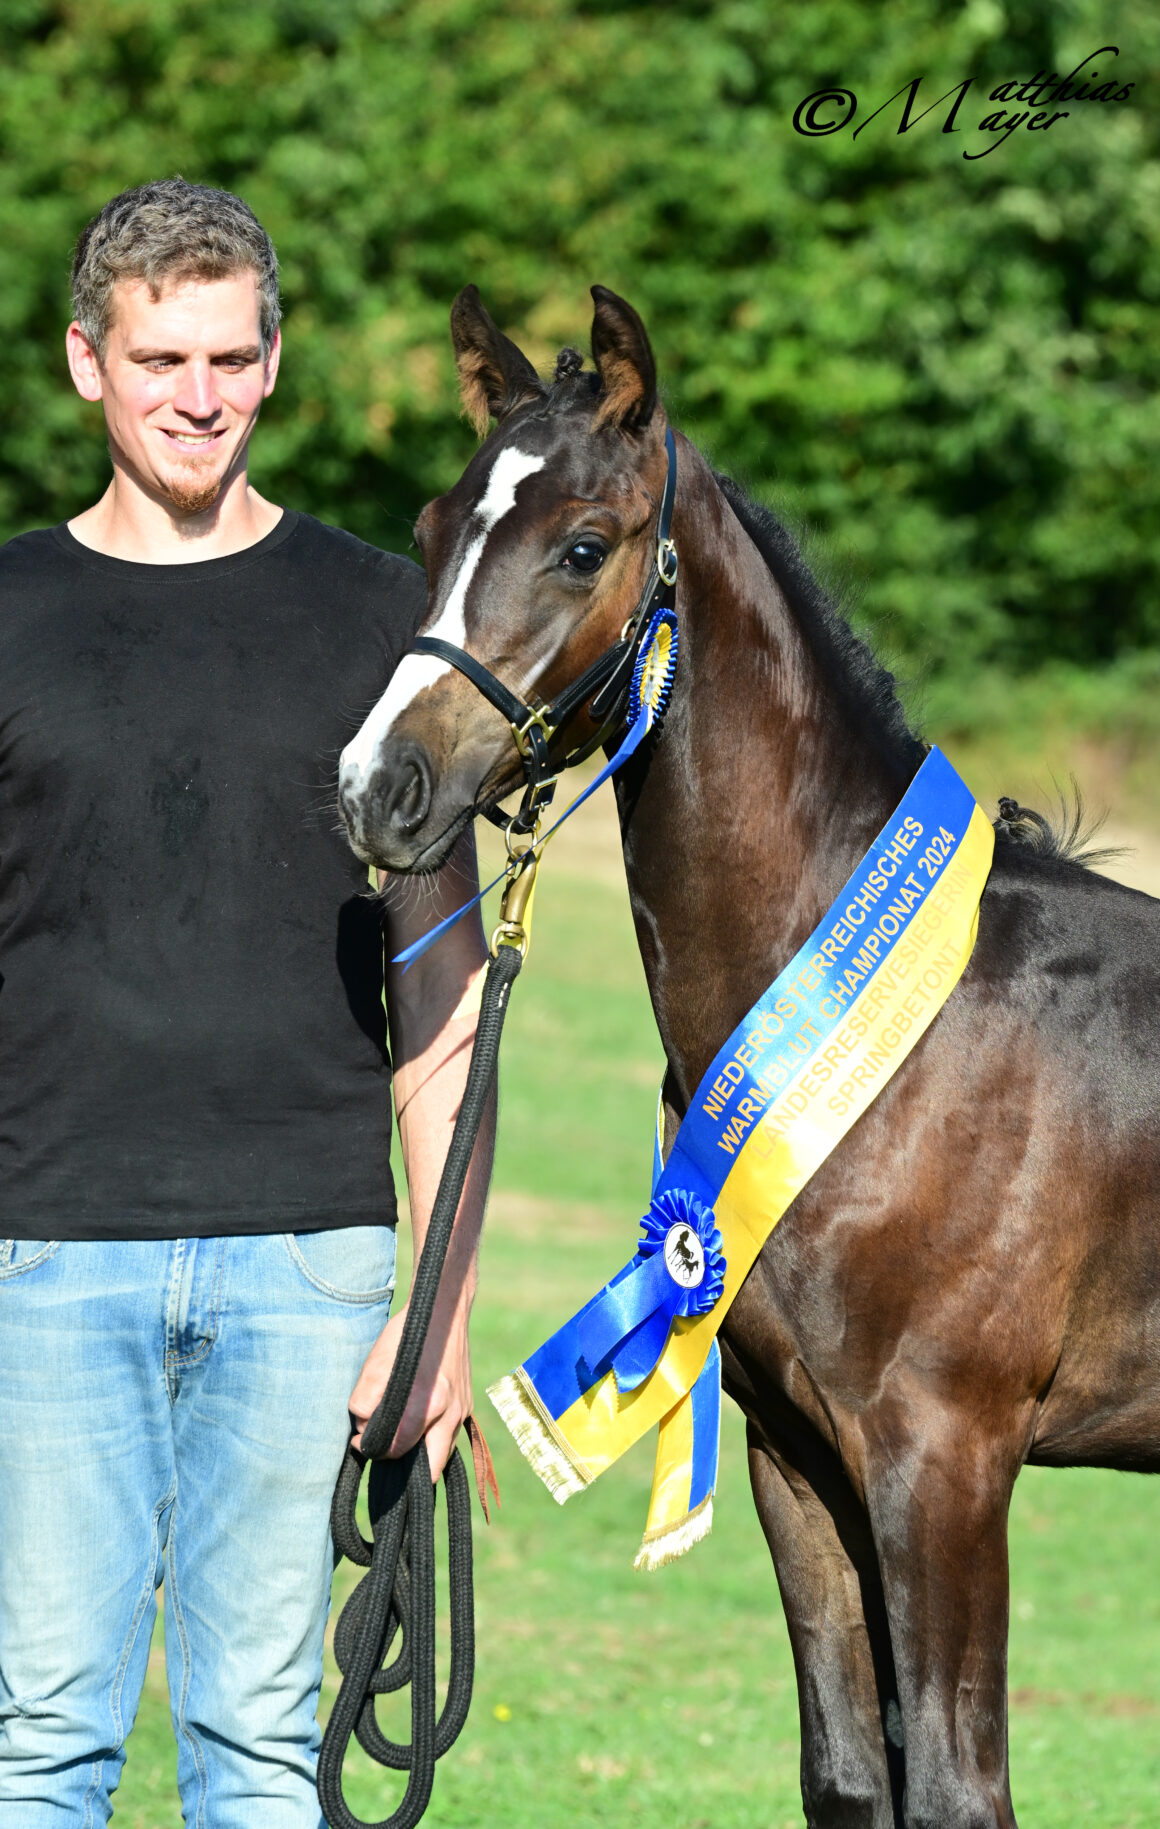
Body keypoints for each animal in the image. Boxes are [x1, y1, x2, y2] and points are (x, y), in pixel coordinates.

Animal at [334, 285, 1156, 1829]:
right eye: (430, 529)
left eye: (582, 543)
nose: (376, 787)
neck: (898, 1040)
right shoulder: (798, 1457)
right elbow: (847, 1771)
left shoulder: (945, 1465)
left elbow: (955, 1783)